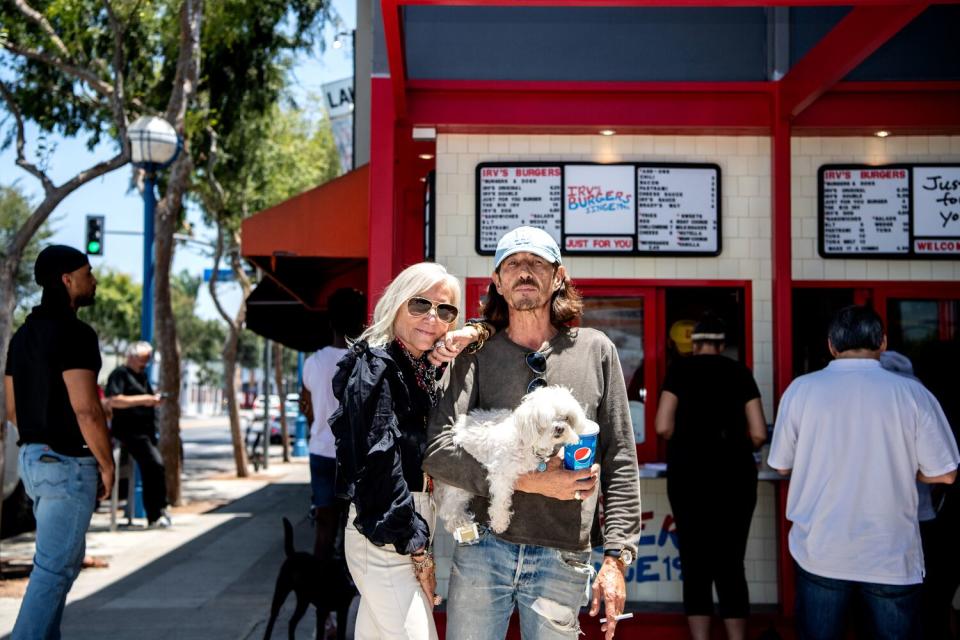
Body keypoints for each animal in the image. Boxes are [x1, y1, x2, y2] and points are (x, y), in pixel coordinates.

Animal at [436, 384, 600, 536]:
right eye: (547, 419)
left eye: (567, 418)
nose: (560, 428)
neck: (527, 442)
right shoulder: (501, 474)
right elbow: (501, 500)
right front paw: (500, 522)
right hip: (457, 483)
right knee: (448, 506)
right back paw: (458, 521)